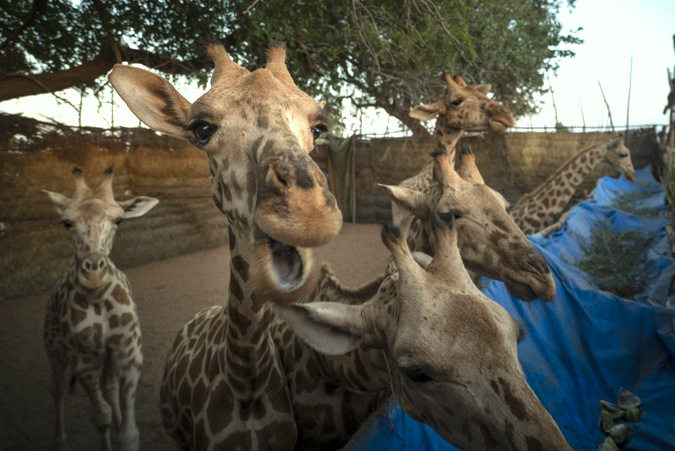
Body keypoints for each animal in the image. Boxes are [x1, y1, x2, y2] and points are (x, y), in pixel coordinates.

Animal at [43, 167, 158, 451]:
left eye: (119, 221)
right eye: (66, 222)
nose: (93, 272)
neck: (98, 298)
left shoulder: (129, 348)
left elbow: (129, 432)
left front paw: (121, 432)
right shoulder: (83, 358)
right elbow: (100, 415)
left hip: (105, 356)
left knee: (109, 387)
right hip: (56, 351)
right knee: (57, 389)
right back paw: (58, 441)